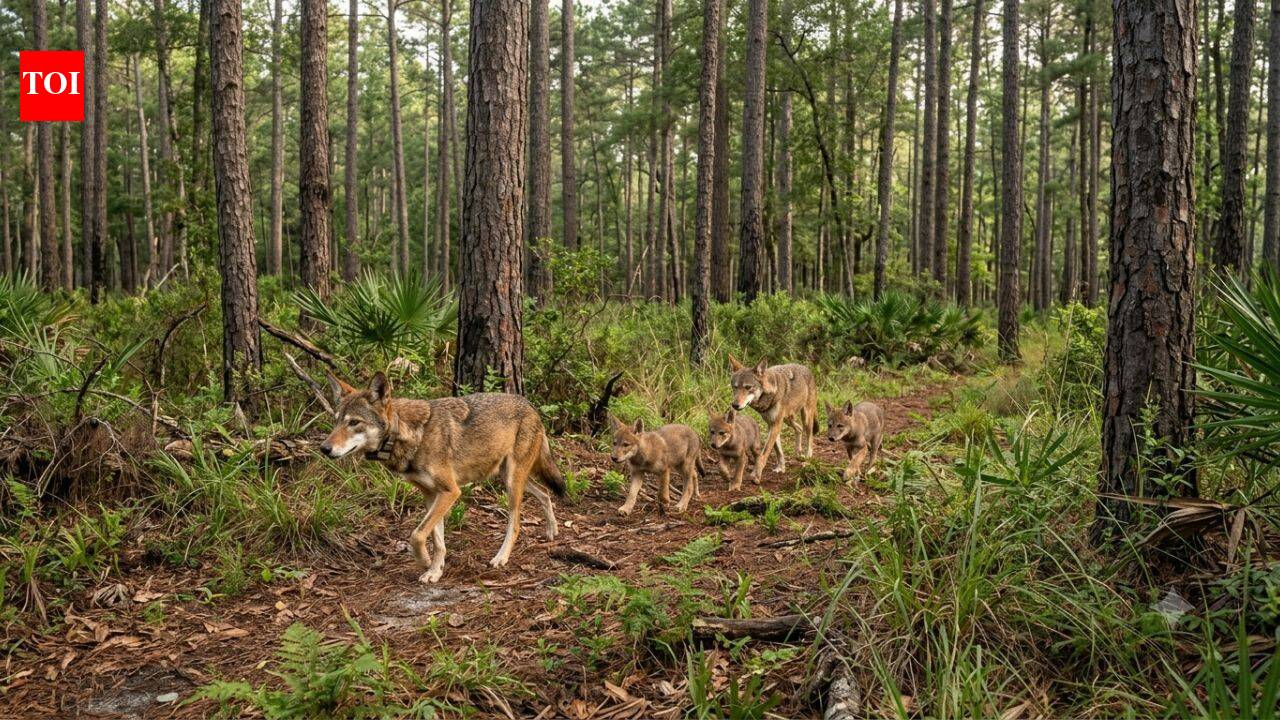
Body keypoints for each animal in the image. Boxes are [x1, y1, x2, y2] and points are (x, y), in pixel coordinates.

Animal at [321, 372, 565, 584]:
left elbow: (417, 535)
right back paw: (552, 531)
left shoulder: (450, 491)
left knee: (515, 524)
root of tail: (529, 404)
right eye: (336, 421)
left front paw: (424, 562)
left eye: (354, 422)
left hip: (512, 482)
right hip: (507, 477)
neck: (411, 434)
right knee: (545, 493)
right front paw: (434, 571)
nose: (324, 448)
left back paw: (501, 558)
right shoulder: (432, 495)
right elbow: (436, 541)